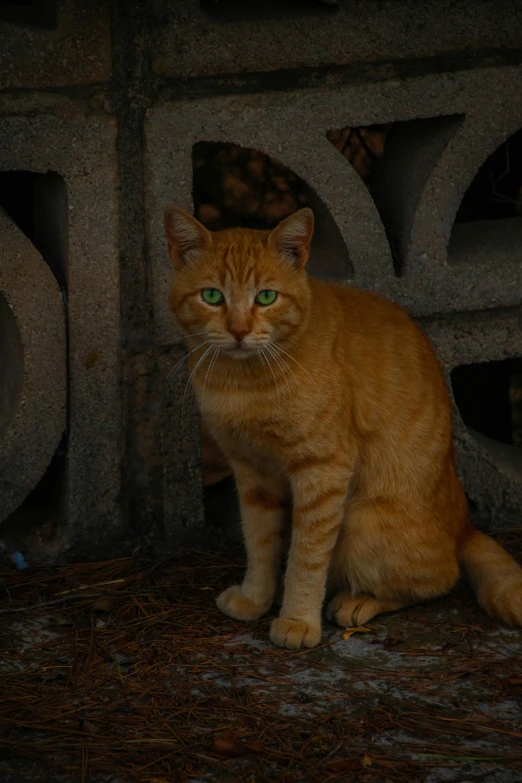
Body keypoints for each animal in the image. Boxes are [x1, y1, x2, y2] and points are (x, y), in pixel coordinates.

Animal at [165, 205, 520, 652]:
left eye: (266, 297)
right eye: (212, 296)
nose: (240, 330)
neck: (243, 383)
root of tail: (464, 526)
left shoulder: (323, 471)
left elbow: (306, 556)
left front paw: (297, 619)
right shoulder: (252, 473)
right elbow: (260, 543)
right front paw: (256, 598)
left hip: (362, 523)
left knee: (440, 579)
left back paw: (355, 602)